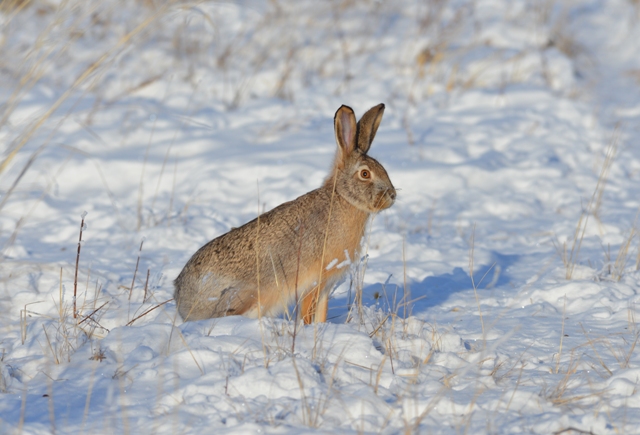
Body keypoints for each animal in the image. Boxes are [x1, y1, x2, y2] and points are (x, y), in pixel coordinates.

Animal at [174, 104, 396, 323]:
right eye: (365, 174)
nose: (392, 195)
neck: (342, 197)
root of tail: (181, 299)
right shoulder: (313, 282)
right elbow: (307, 314)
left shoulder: (326, 286)